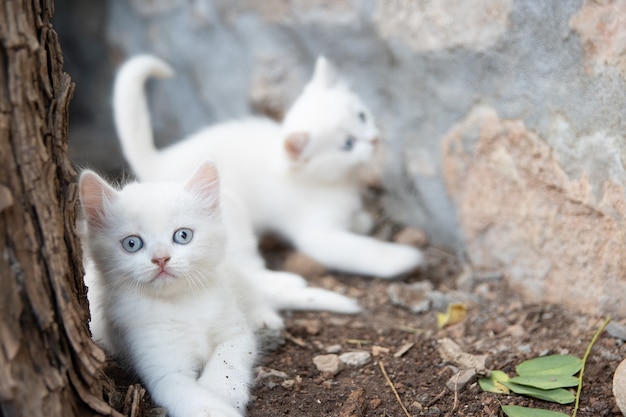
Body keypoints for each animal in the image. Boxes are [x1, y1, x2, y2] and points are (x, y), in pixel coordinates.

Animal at [79, 162, 255, 416]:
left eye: (183, 235)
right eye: (132, 243)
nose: (161, 258)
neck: (181, 303)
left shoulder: (236, 331)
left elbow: (227, 358)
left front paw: (222, 389)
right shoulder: (163, 370)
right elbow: (202, 404)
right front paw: (219, 402)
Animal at [114, 53, 422, 278]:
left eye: (362, 116)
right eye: (347, 144)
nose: (374, 140)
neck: (333, 181)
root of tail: (161, 161)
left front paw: (359, 221)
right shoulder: (316, 233)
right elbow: (355, 250)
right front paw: (400, 259)